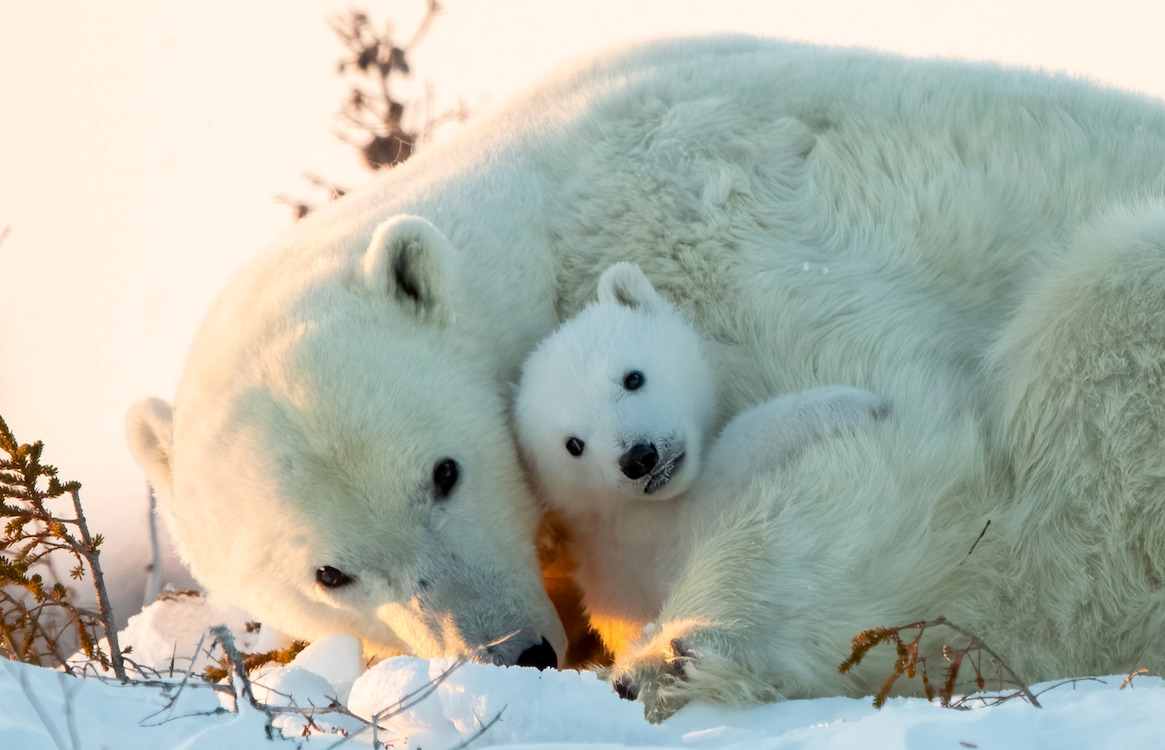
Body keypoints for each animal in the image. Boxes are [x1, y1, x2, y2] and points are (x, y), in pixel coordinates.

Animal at [125, 36, 1165, 708]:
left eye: (444, 472)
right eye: (329, 573)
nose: (518, 654)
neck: (543, 206)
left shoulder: (720, 229)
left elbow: (916, 445)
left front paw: (687, 648)